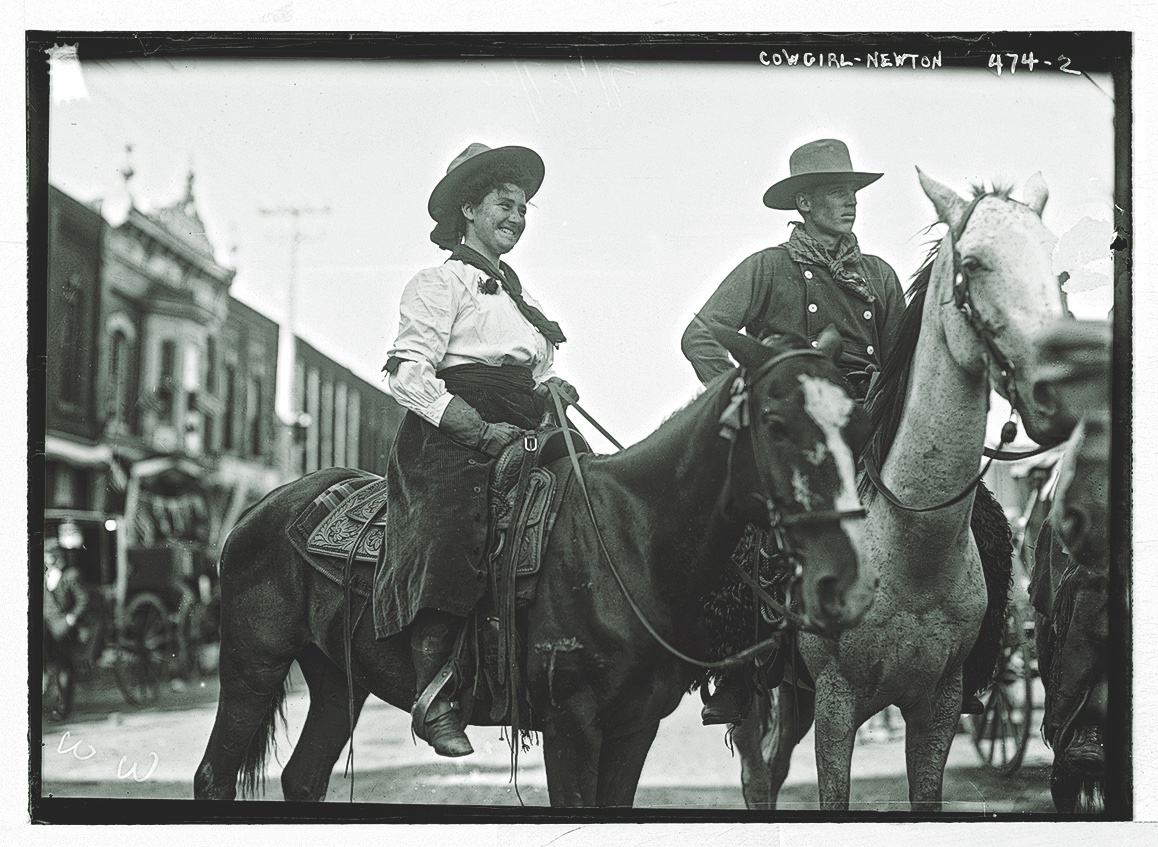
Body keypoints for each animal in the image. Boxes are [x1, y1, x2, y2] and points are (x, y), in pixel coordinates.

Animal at [194, 326, 870, 806]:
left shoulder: (636, 727)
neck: (630, 537)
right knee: (214, 776)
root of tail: (261, 509)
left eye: (855, 424)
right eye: (776, 424)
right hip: (253, 666)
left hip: (338, 680)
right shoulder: (571, 725)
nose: (845, 581)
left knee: (304, 777)